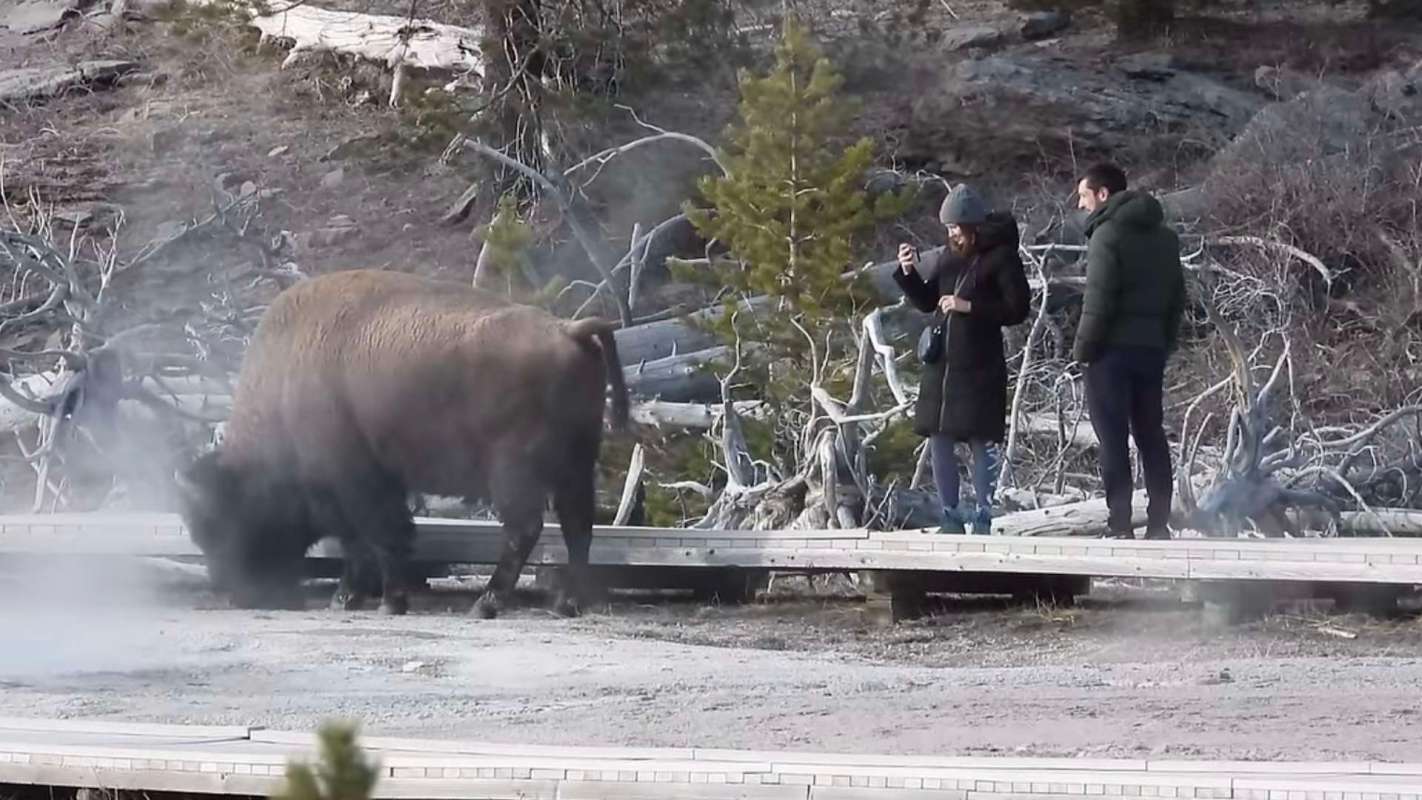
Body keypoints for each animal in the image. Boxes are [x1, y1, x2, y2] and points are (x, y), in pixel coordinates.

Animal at [174, 269, 629, 618]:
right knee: (577, 525)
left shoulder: (353, 482)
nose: (236, 592)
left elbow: (373, 536)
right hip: (576, 465)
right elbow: (376, 537)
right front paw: (357, 597)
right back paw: (567, 604)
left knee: (525, 529)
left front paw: (379, 601)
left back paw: (487, 603)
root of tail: (567, 330)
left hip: (515, 472)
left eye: (224, 522)